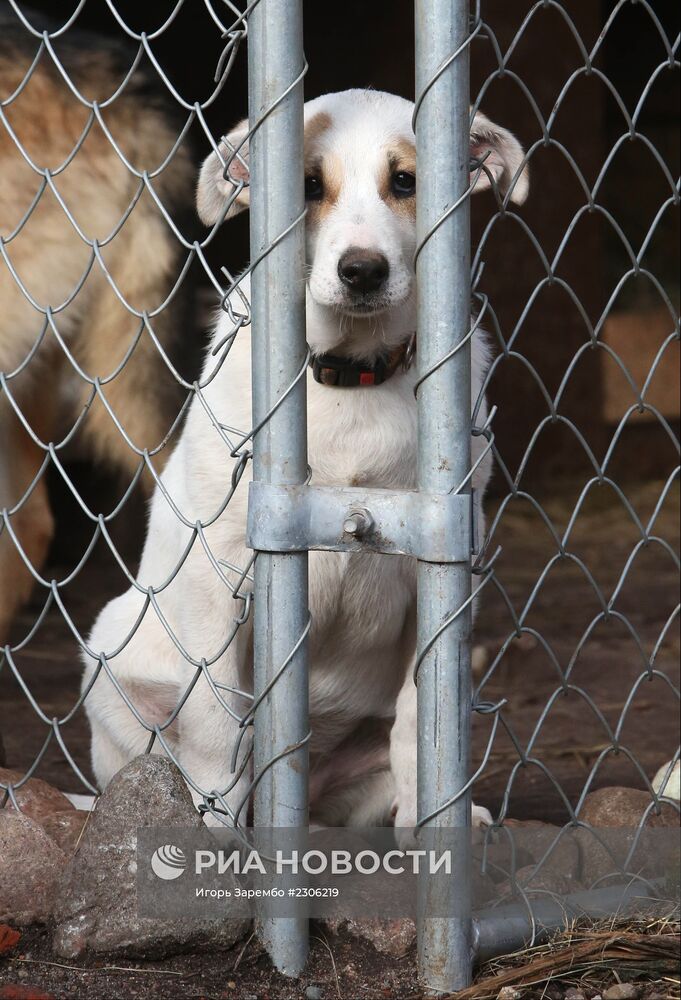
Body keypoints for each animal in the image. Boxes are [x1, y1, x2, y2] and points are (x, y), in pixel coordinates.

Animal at [81, 88, 524, 836]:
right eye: (308, 187)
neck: (349, 375)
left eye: (406, 182)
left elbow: (419, 724)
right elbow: (217, 728)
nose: (362, 271)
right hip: (110, 663)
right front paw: (217, 836)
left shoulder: (442, 564)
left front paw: (430, 826)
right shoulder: (222, 573)